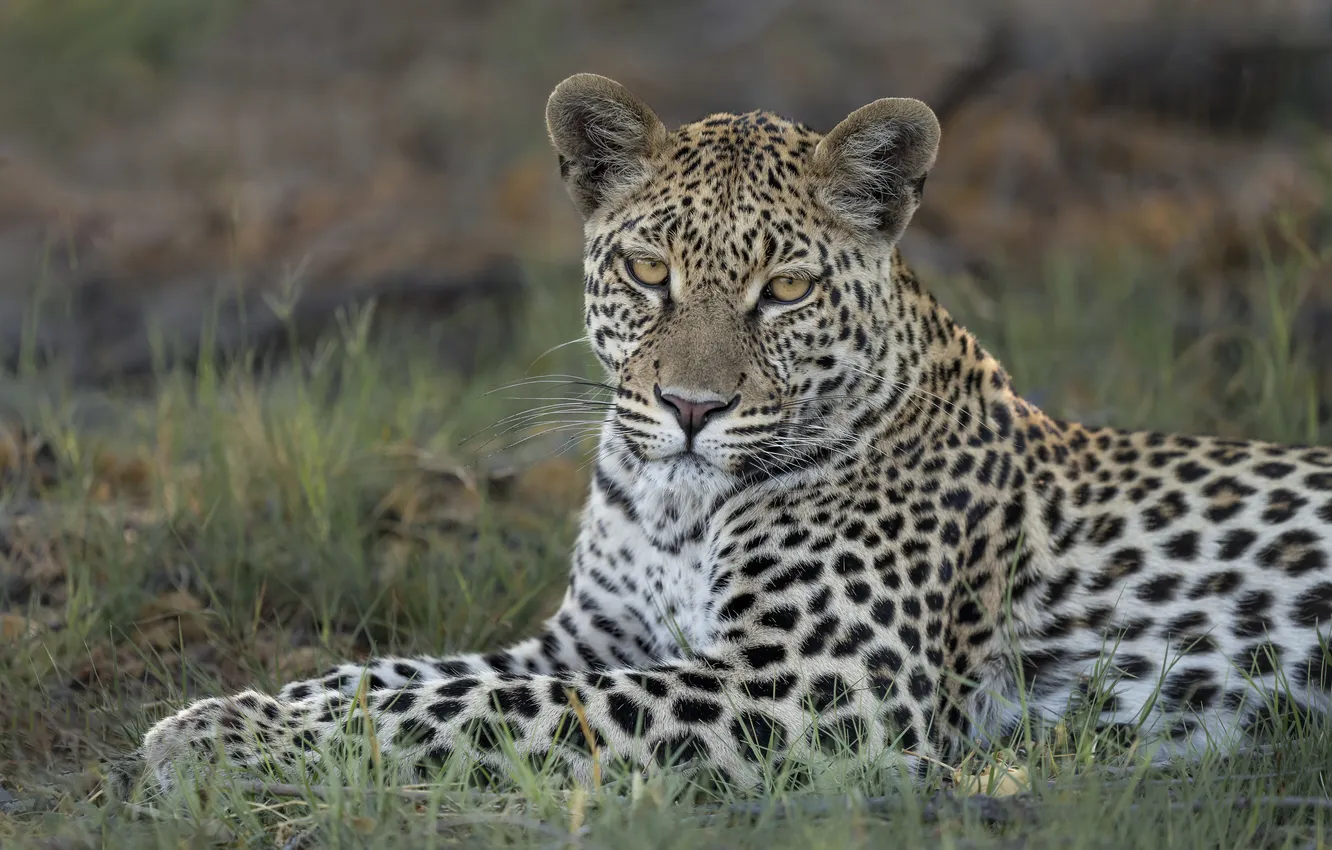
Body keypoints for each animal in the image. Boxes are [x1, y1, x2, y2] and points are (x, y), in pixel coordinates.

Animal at [112, 73, 1332, 799]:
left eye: (784, 289)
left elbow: (488, 709)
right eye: (649, 270)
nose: (692, 409)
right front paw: (215, 716)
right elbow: (404, 676)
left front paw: (221, 746)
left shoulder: (813, 682)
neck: (675, 506)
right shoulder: (590, 635)